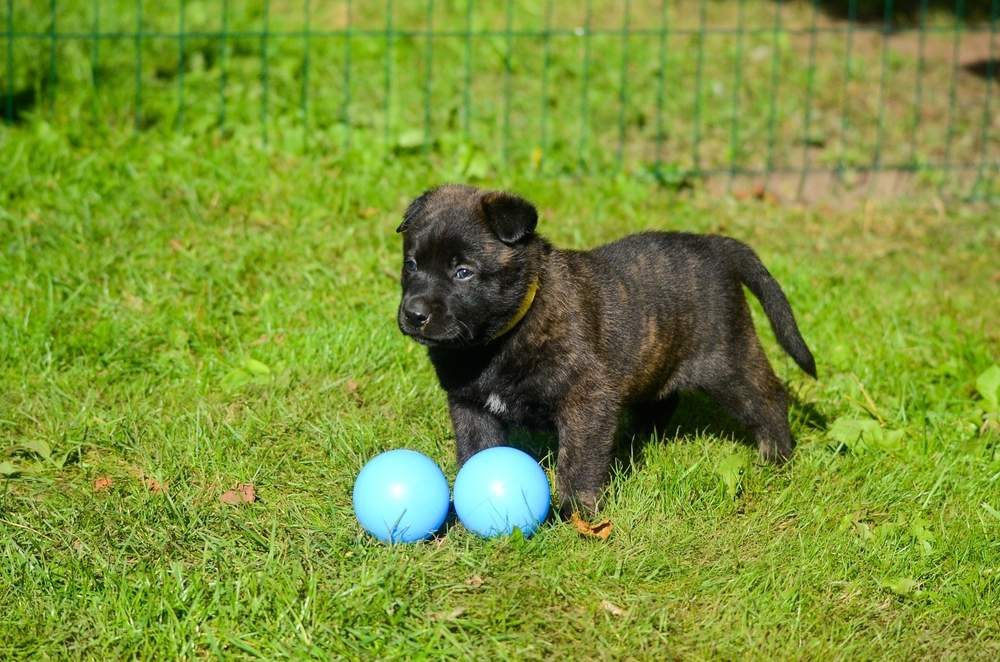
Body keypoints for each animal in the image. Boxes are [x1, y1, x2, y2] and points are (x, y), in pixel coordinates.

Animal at [396, 185, 816, 516]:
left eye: (463, 272)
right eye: (411, 265)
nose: (413, 314)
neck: (502, 336)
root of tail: (715, 244)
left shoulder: (587, 397)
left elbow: (577, 459)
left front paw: (576, 512)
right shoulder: (470, 404)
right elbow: (476, 450)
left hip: (727, 360)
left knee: (767, 397)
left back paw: (776, 457)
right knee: (660, 402)